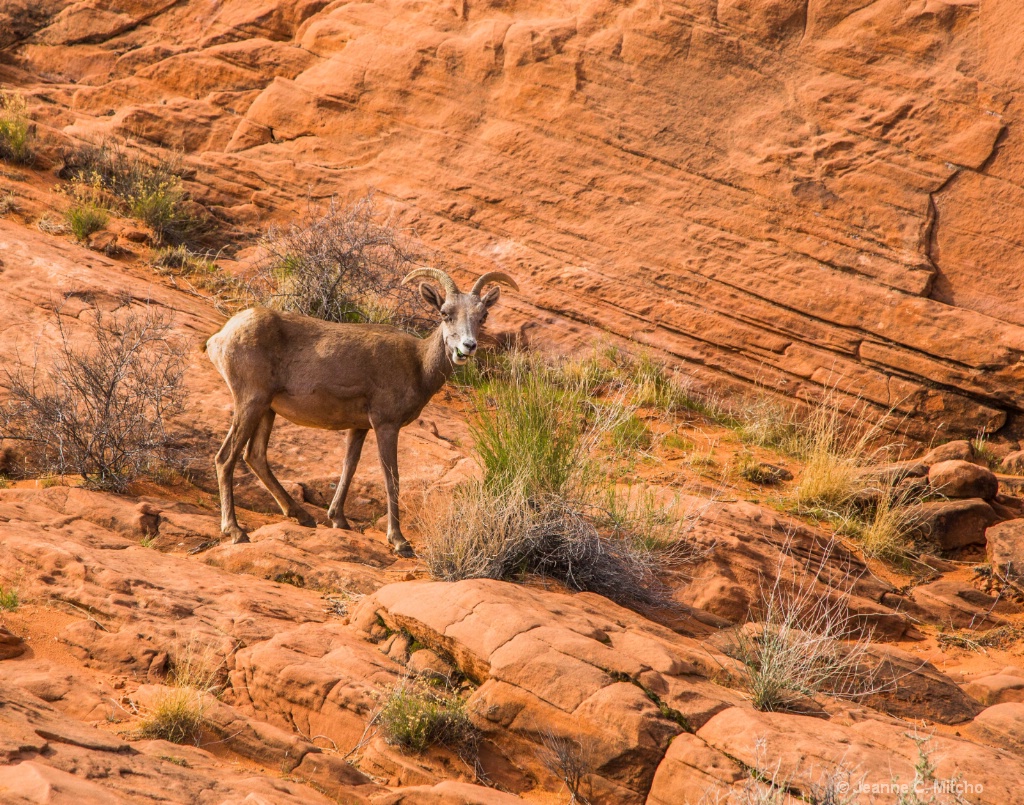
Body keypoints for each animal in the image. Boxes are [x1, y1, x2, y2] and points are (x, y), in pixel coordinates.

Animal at [205, 266, 520, 557]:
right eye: (445, 313)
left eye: (482, 316)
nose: (467, 347)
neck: (418, 365)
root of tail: (219, 338)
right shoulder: (385, 424)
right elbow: (391, 478)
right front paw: (400, 542)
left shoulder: (359, 427)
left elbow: (349, 467)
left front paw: (338, 520)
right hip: (251, 402)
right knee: (226, 458)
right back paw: (236, 532)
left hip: (266, 410)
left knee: (255, 456)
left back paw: (302, 516)